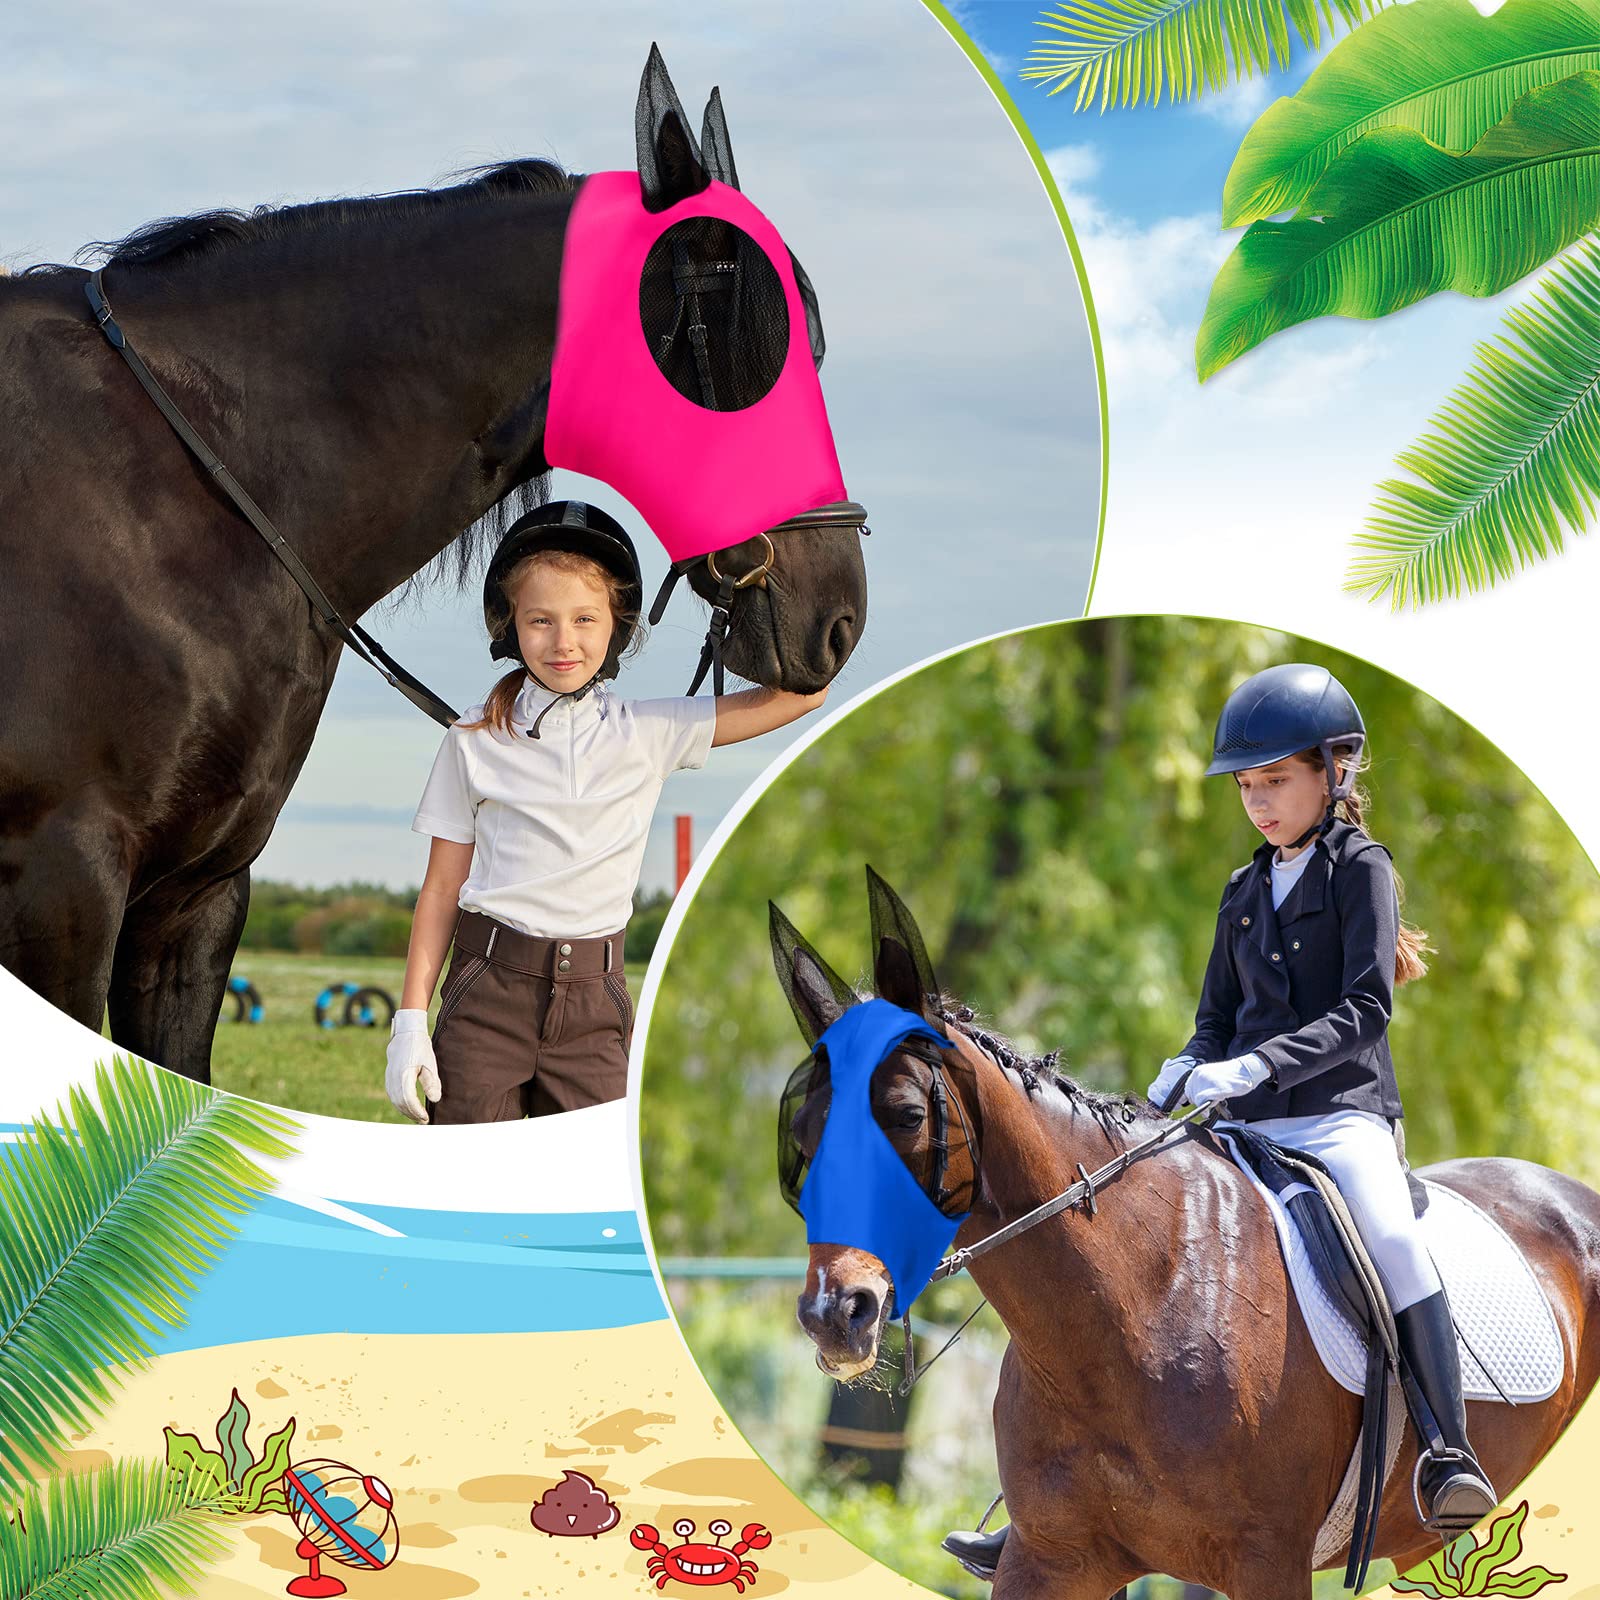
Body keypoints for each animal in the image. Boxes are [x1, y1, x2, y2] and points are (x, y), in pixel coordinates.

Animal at [771, 870, 1600, 1600]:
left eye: (908, 1116)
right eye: (804, 1131)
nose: (834, 1313)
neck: (1134, 1309)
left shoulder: (1267, 1560)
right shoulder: (1053, 1558)